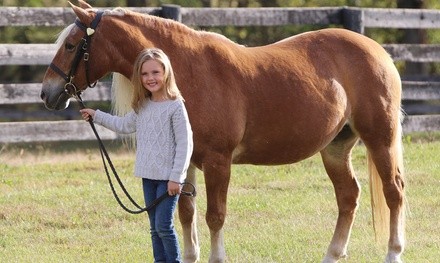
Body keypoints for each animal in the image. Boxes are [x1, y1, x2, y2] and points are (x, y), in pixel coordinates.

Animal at [40, 1, 406, 262]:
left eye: (71, 45)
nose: (47, 93)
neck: (188, 72)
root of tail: (377, 50)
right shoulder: (184, 161)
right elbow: (185, 214)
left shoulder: (219, 162)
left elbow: (214, 216)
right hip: (335, 148)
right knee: (348, 195)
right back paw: (332, 254)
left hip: (380, 139)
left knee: (394, 192)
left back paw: (393, 253)